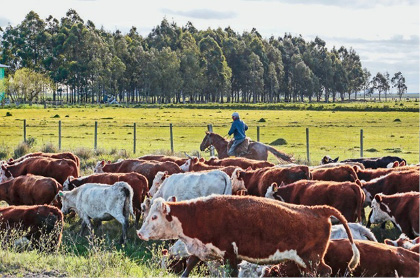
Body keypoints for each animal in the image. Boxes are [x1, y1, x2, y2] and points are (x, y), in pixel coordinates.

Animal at [136, 194, 360, 276]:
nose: (140, 233)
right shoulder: (201, 251)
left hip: (312, 260)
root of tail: (319, 209)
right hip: (305, 262)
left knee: (324, 271)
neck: (199, 214)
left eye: (154, 217)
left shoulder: (230, 255)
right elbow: (188, 267)